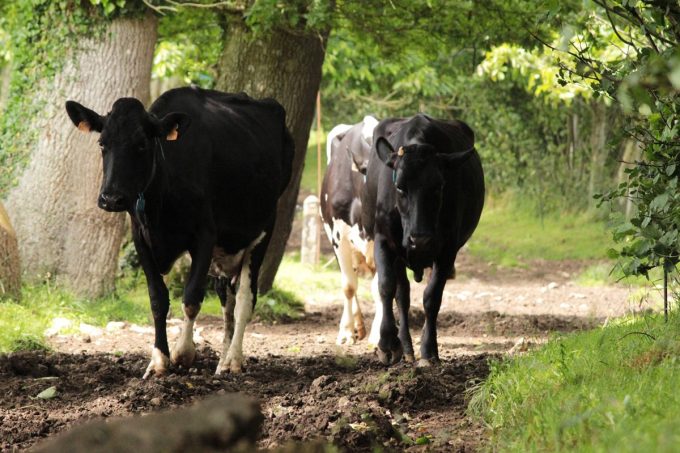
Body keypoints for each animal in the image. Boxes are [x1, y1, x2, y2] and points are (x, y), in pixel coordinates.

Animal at [65, 86, 293, 377]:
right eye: (102, 144)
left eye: (142, 144)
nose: (111, 198)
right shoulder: (141, 238)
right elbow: (157, 299)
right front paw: (158, 361)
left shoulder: (205, 235)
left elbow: (192, 297)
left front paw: (183, 352)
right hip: (226, 252)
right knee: (227, 299)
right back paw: (222, 360)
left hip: (263, 229)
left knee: (244, 298)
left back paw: (233, 360)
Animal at [320, 116, 382, 346]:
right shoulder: (339, 239)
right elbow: (348, 287)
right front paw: (346, 332)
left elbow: (380, 288)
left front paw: (379, 334)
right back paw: (357, 326)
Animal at [361, 113, 484, 366]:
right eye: (399, 187)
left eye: (439, 186)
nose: (421, 239)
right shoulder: (383, 239)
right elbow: (386, 286)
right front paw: (387, 344)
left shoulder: (448, 249)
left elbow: (432, 296)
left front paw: (429, 350)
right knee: (402, 295)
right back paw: (405, 346)